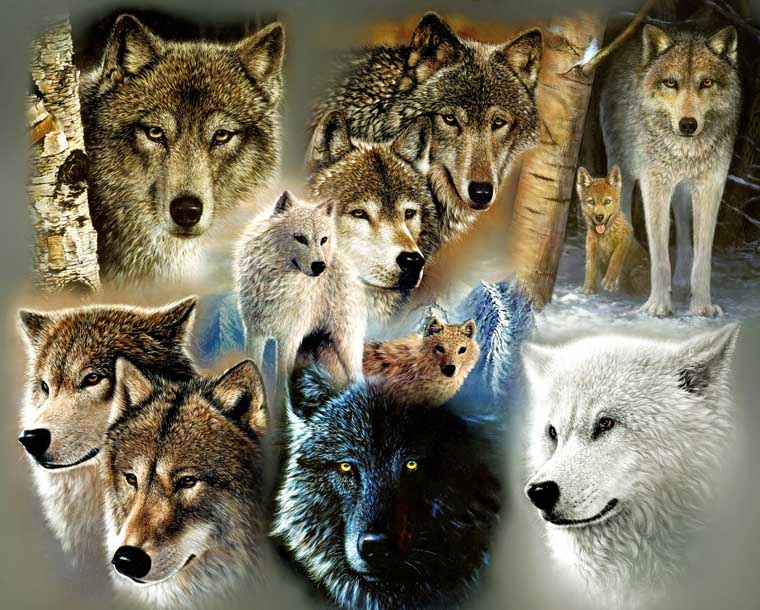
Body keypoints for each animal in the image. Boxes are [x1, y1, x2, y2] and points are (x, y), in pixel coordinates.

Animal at [236, 191, 366, 393]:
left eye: (323, 240)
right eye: (301, 238)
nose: (320, 266)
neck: (276, 283)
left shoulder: (289, 338)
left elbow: (282, 380)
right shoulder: (254, 333)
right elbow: (254, 364)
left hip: (346, 345)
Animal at [577, 166, 649, 295]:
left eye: (607, 201)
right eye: (591, 202)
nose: (599, 217)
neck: (605, 235)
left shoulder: (625, 238)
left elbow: (615, 258)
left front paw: (609, 282)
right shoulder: (591, 248)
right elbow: (590, 269)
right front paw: (588, 289)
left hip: (636, 272)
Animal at [600, 24, 740, 316]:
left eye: (706, 83)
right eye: (670, 83)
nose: (688, 124)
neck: (686, 151)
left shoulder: (710, 187)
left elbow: (703, 258)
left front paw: (701, 306)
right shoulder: (655, 187)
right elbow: (660, 256)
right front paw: (658, 306)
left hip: (683, 192)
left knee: (685, 232)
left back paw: (682, 280)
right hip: (623, 172)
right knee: (624, 214)